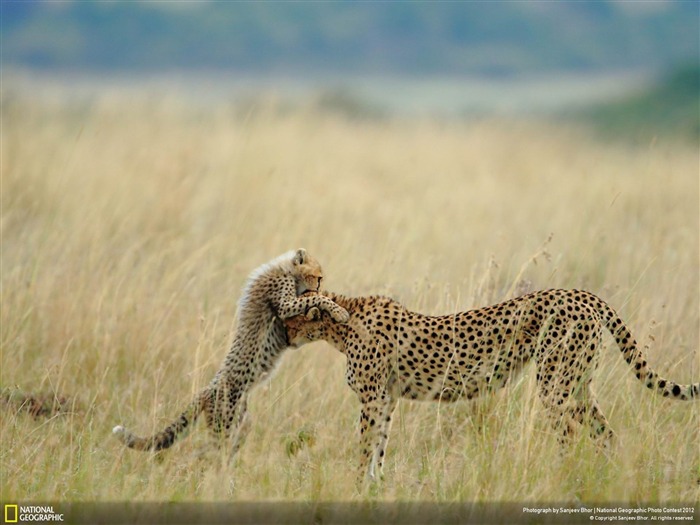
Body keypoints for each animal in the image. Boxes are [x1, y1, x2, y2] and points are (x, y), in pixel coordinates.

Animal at [114, 249, 350, 454]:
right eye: (318, 277)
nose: (319, 285)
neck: (286, 269)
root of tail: (206, 390)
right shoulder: (285, 304)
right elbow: (311, 300)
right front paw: (338, 310)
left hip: (241, 422)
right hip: (223, 426)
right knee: (206, 453)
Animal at [284, 288, 696, 482]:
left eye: (288, 319)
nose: (283, 337)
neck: (339, 322)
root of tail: (579, 293)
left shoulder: (372, 399)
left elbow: (365, 448)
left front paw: (357, 486)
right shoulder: (386, 399)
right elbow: (379, 449)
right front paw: (375, 486)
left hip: (554, 385)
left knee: (569, 435)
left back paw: (562, 477)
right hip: (578, 384)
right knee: (606, 434)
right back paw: (602, 479)